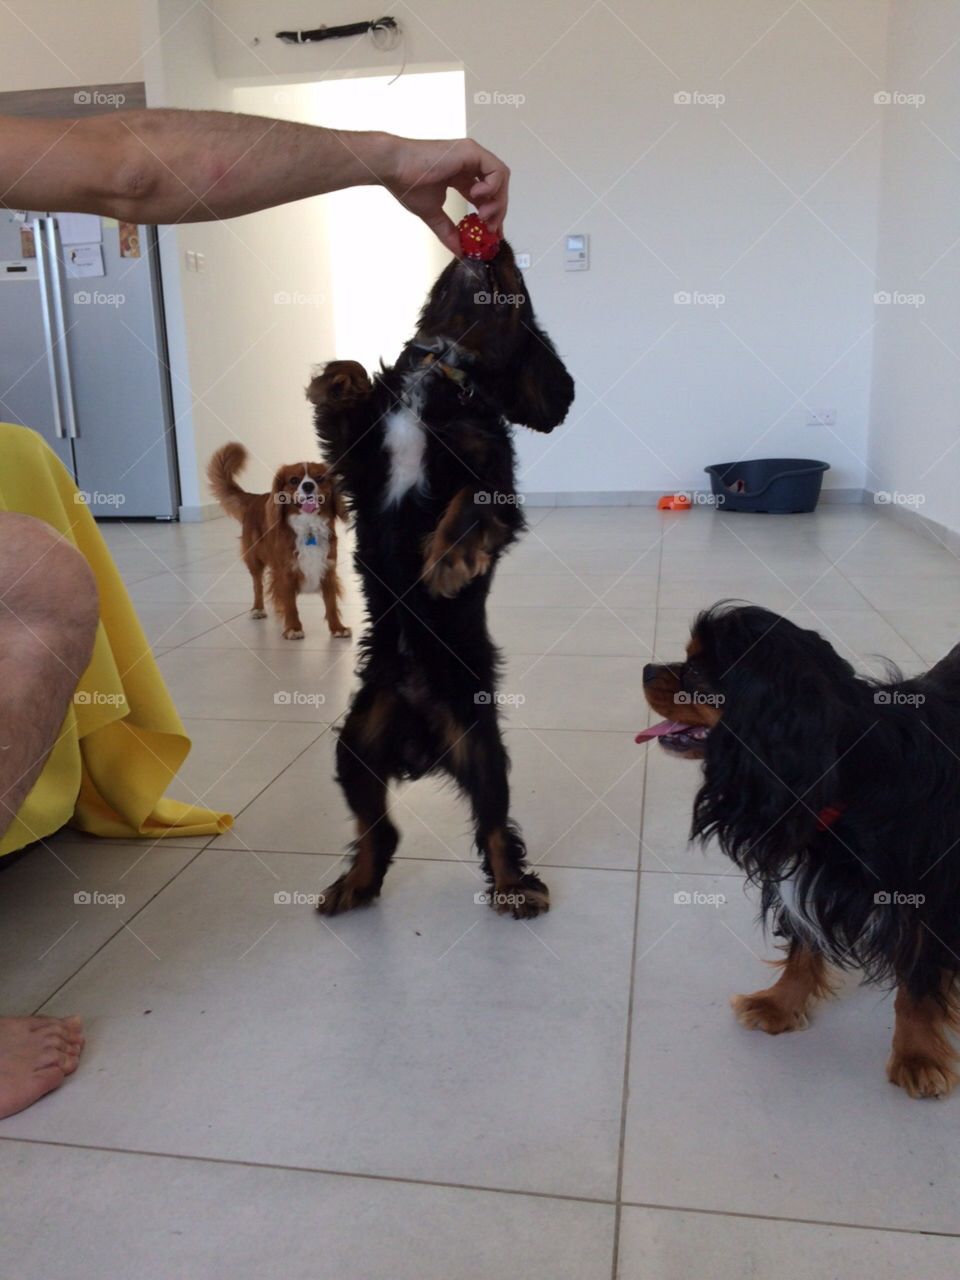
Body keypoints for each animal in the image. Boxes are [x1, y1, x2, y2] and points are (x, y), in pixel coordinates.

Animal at [208, 445, 350, 640]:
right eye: (294, 480)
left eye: (319, 478)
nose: (308, 485)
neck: (308, 526)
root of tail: (254, 497)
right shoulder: (286, 572)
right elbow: (290, 604)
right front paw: (293, 628)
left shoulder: (328, 570)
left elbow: (331, 604)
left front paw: (337, 627)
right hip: (254, 560)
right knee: (258, 585)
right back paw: (258, 609)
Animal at [312, 238, 576, 921]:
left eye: (517, 289)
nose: (498, 242)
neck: (443, 376)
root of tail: (421, 742)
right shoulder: (359, 462)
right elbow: (347, 403)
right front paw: (341, 378)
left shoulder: (492, 480)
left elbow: (468, 507)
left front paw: (447, 563)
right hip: (355, 746)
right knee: (380, 830)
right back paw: (353, 885)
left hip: (481, 747)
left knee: (493, 824)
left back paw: (513, 888)